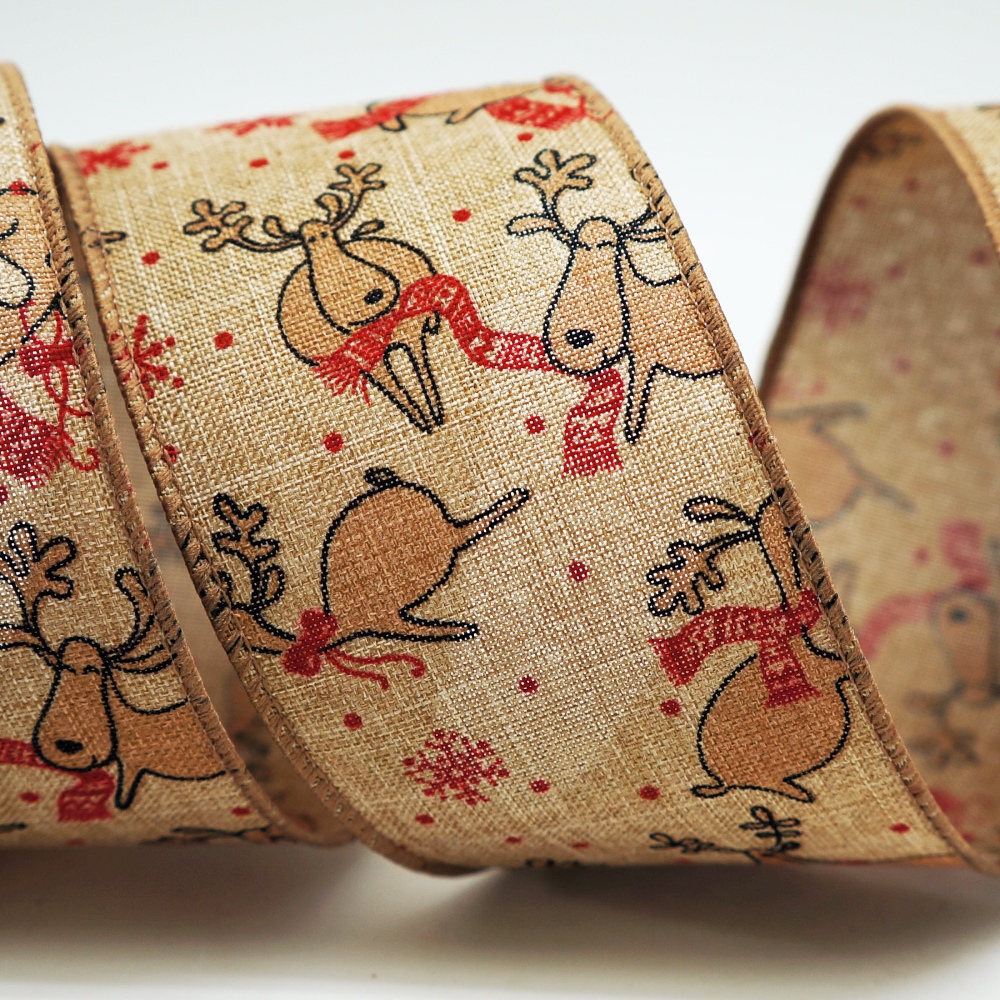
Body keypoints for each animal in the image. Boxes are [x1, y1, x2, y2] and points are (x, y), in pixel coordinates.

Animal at [184, 162, 443, 433]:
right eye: (308, 245)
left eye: (329, 235)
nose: (371, 294)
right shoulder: (364, 361)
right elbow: (399, 391)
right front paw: (426, 419)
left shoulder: (412, 331)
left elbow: (422, 373)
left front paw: (433, 416)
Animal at [506, 150, 723, 444]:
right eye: (575, 245)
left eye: (612, 245)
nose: (578, 338)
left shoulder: (644, 362)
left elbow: (633, 412)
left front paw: (630, 433)